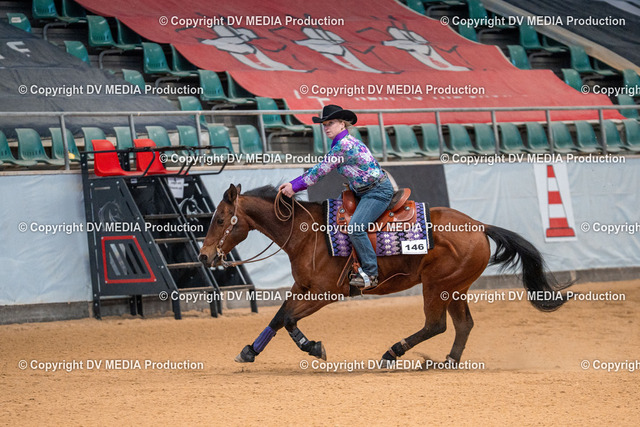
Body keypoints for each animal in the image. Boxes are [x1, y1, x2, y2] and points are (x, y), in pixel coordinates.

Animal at [198, 184, 570, 365]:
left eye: (220, 218)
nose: (204, 255)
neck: (307, 233)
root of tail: (479, 226)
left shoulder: (326, 292)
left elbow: (290, 319)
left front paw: (314, 347)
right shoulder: (301, 286)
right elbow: (278, 317)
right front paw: (249, 351)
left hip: (437, 285)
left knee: (436, 325)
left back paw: (393, 352)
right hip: (456, 288)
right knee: (463, 324)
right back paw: (448, 361)